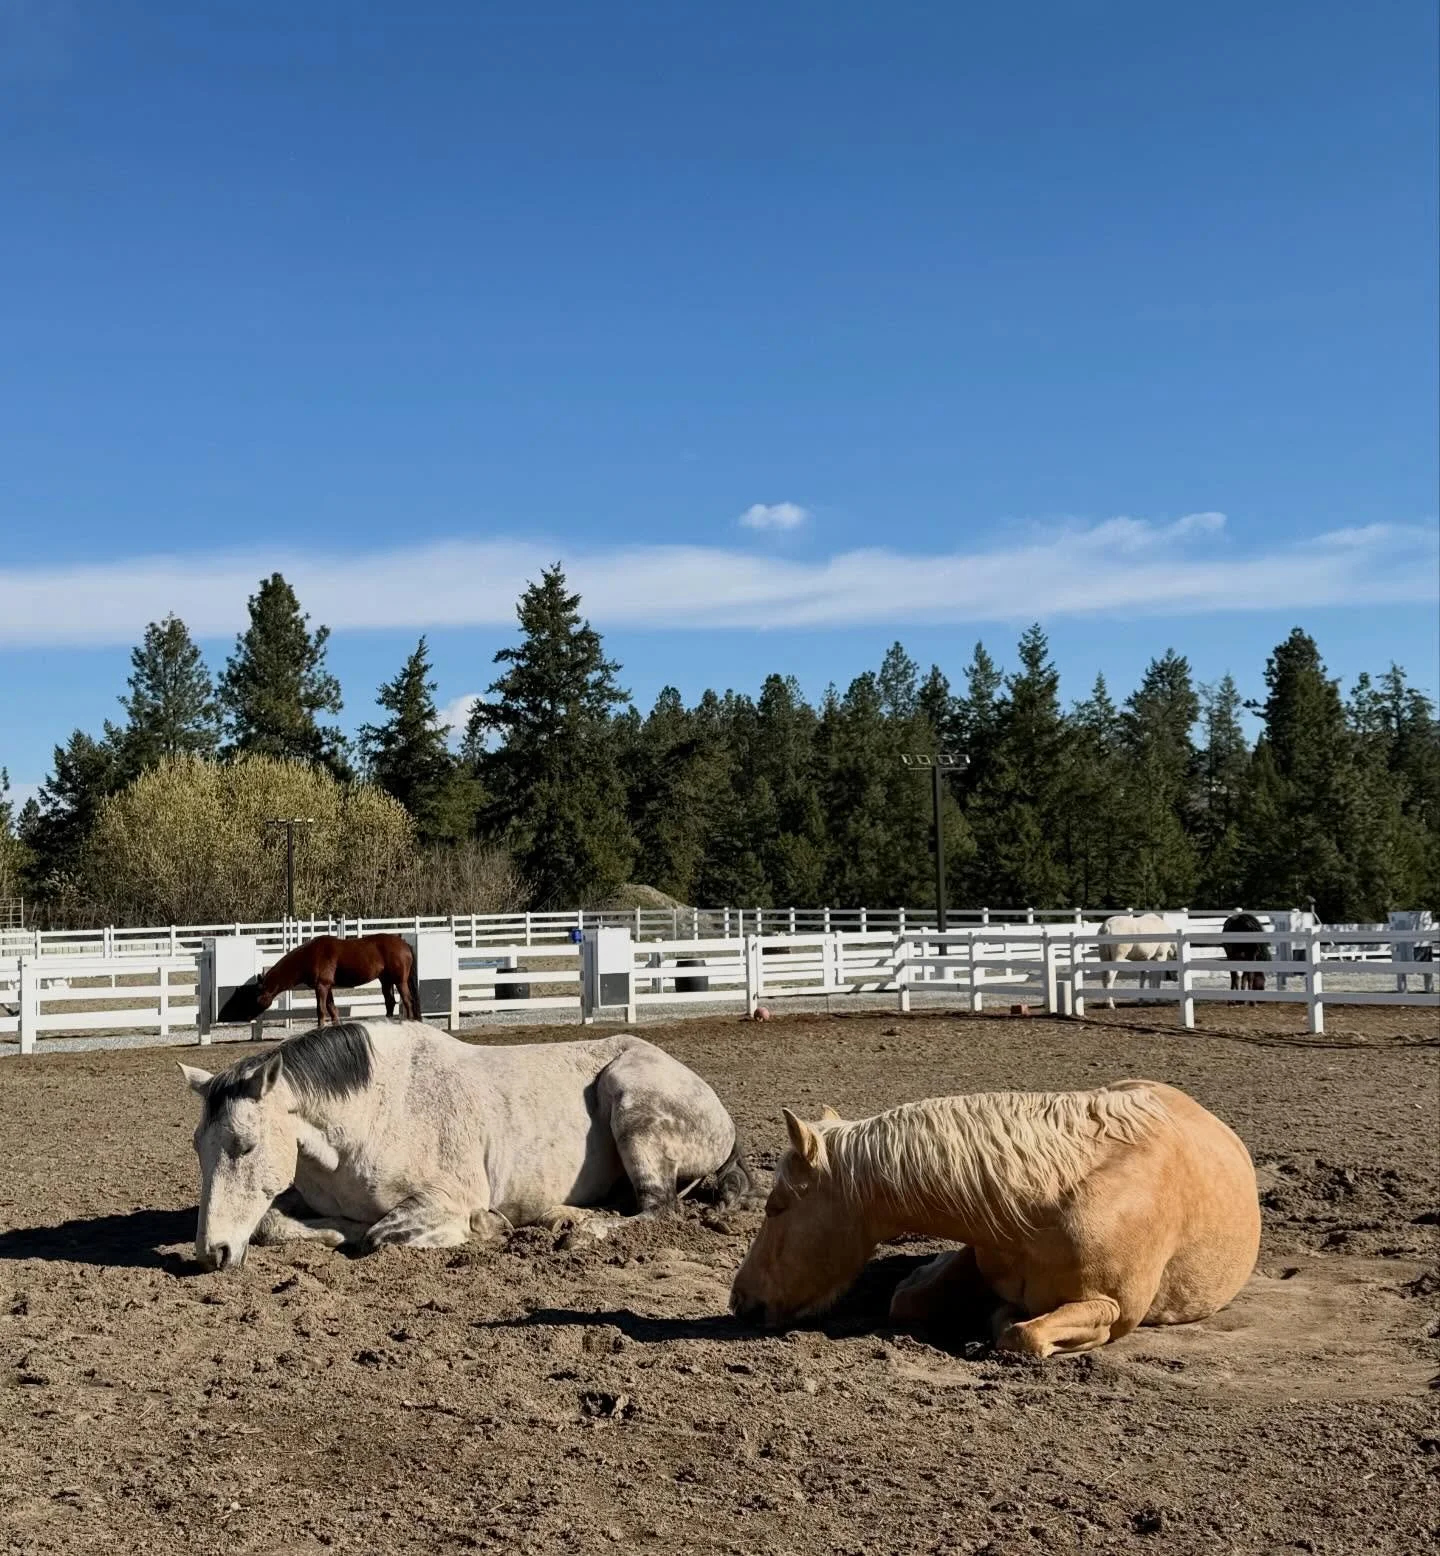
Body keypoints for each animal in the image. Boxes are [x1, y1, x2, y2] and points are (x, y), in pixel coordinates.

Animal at [179, 1020, 751, 1271]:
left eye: (246, 1146)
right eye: (199, 1149)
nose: (212, 1253)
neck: (371, 1116)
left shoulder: (445, 1198)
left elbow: (380, 1235)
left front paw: (483, 1226)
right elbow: (275, 1225)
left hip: (630, 1102)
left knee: (658, 1209)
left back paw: (579, 1234)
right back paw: (560, 1217)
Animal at [216, 934, 418, 1028]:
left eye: (253, 997)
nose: (245, 1017)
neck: (310, 955)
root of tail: (404, 944)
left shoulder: (321, 987)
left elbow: (321, 1010)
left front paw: (320, 1027)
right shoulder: (328, 987)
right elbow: (332, 1009)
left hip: (399, 981)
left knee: (407, 1001)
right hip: (386, 981)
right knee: (390, 1002)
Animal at [729, 1080, 1259, 1358]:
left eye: (776, 1207)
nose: (740, 1301)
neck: (1054, 1194)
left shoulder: (1111, 1308)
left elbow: (1022, 1333)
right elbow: (910, 1300)